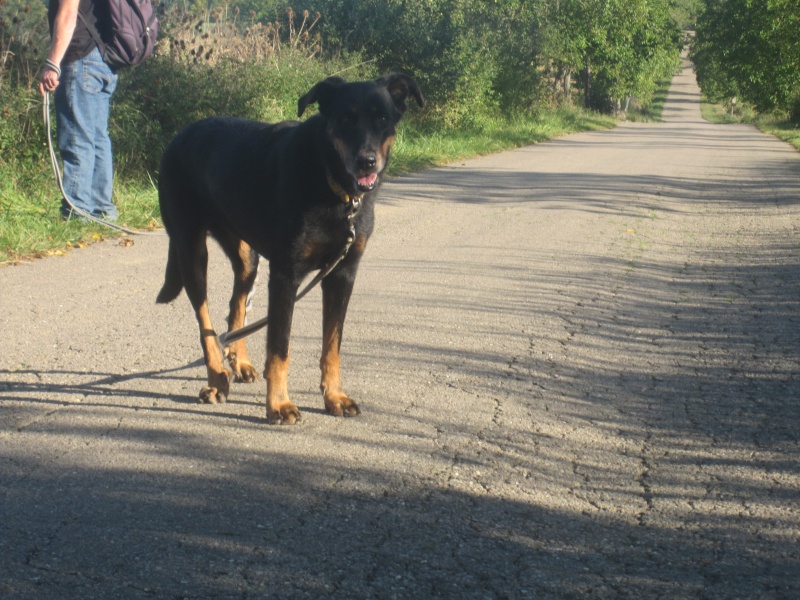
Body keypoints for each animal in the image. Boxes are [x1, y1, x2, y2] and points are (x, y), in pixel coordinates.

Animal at [152, 74, 422, 422]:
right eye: (345, 119)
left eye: (383, 119)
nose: (366, 162)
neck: (330, 182)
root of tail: (179, 136)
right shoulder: (285, 276)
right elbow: (279, 348)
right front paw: (278, 403)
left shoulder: (343, 275)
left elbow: (332, 345)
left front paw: (334, 395)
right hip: (191, 251)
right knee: (206, 324)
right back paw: (216, 379)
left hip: (247, 258)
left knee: (236, 306)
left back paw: (240, 362)